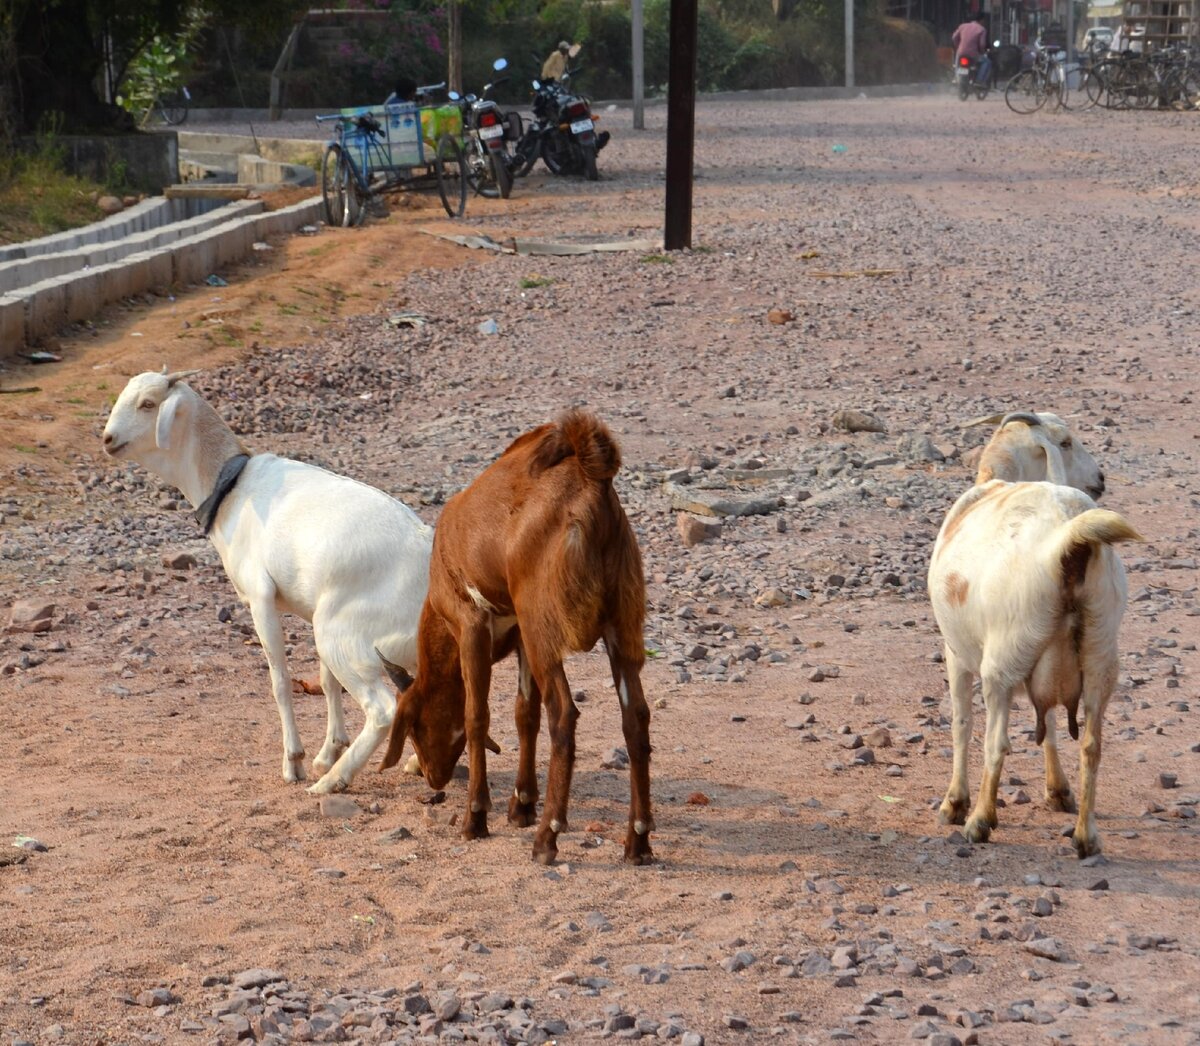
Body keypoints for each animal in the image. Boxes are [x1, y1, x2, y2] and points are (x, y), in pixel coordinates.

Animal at [103, 371, 432, 786]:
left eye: (147, 404)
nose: (108, 438)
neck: (231, 490)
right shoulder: (310, 608)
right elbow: (327, 682)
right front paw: (328, 751)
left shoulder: (260, 598)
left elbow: (280, 682)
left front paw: (295, 761)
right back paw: (413, 762)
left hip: (345, 637)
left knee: (383, 709)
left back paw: (332, 782)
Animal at [379, 410, 652, 868]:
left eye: (414, 726)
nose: (434, 778)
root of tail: (591, 478)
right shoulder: (522, 634)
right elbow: (525, 712)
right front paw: (521, 804)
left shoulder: (473, 624)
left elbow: (477, 715)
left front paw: (476, 816)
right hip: (620, 624)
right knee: (635, 718)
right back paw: (638, 840)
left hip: (546, 625)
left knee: (564, 713)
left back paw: (548, 837)